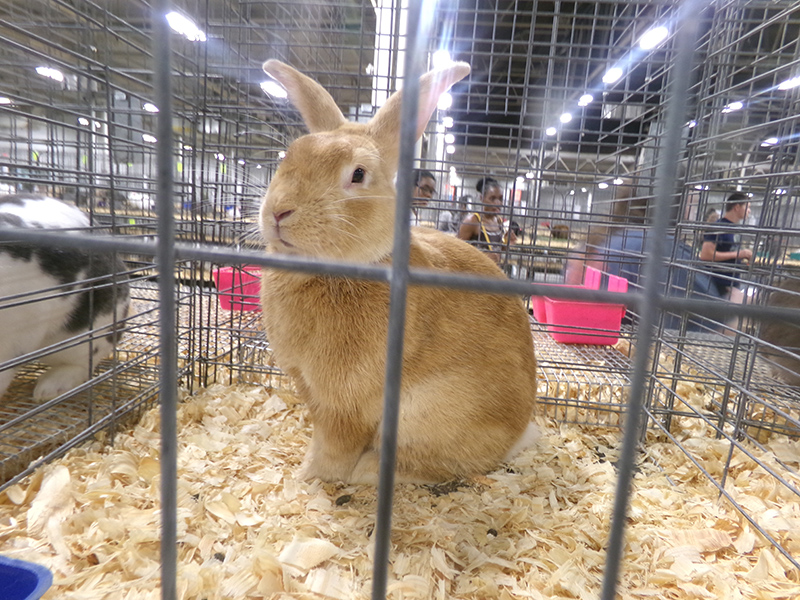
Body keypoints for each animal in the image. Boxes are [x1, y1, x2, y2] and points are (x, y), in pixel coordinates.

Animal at [260, 59, 536, 482]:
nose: (279, 211)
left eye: (357, 174)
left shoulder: (344, 402)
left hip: (424, 416)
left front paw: (308, 479)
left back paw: (366, 472)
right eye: (287, 157)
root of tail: (519, 434)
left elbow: (333, 448)